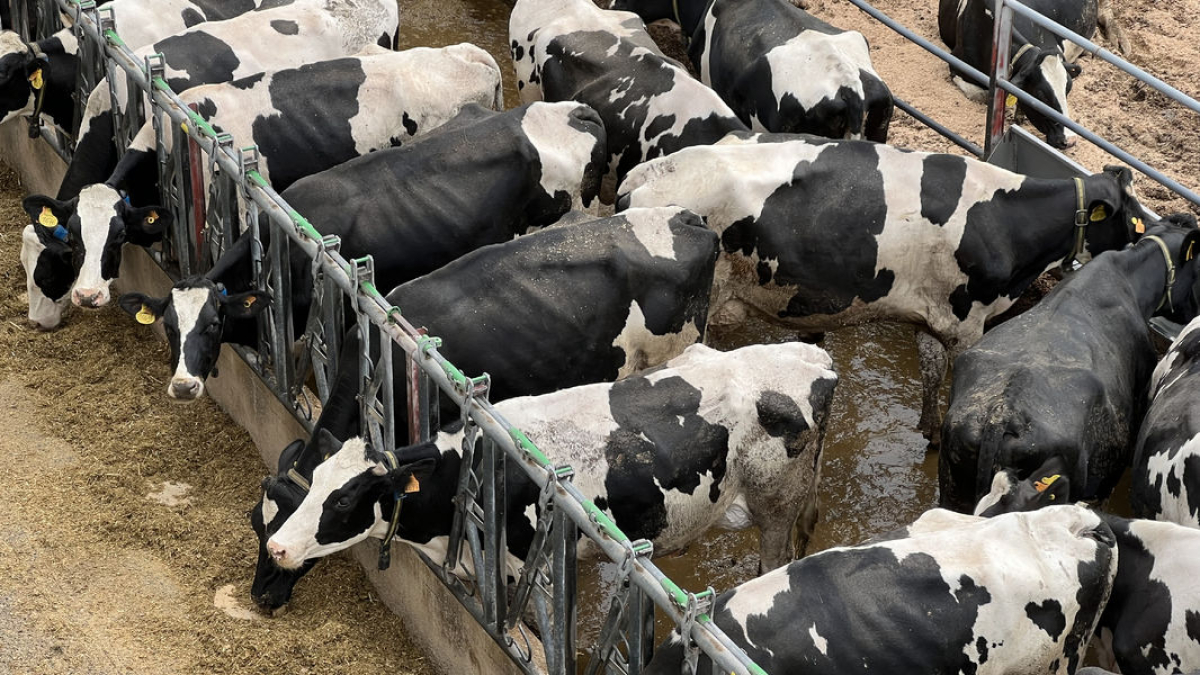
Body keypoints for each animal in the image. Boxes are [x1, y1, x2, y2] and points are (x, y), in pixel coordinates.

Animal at [263, 341, 837, 584]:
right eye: (315, 484)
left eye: (343, 500)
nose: (276, 547)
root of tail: (814, 357)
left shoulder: (525, 569)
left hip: (776, 507)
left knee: (774, 559)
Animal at [616, 131, 1149, 447]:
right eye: (1131, 213)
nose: (1143, 240)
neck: (1002, 219)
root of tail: (645, 174)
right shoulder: (969, 321)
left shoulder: (933, 315)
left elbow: (931, 375)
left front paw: (928, 432)